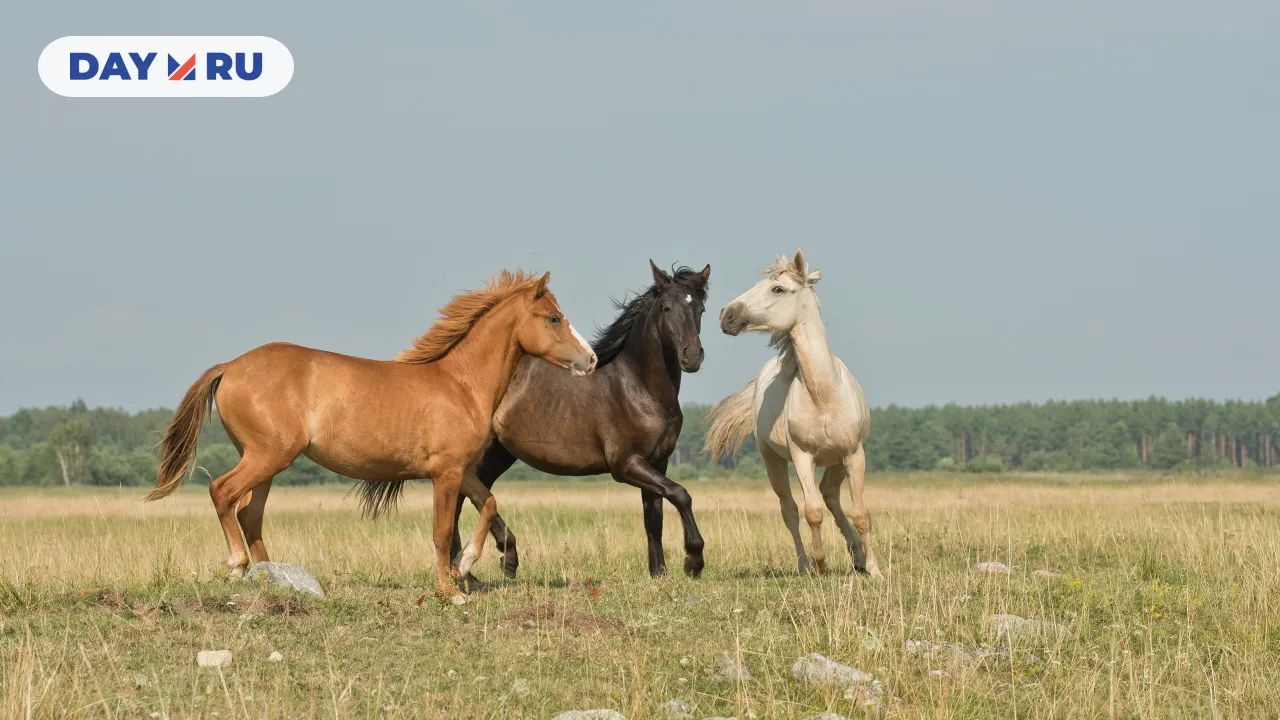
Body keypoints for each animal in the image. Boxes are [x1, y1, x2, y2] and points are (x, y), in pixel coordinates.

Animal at [145, 270, 597, 604]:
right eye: (553, 317)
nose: (590, 359)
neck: (461, 384)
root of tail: (231, 366)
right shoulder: (445, 474)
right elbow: (440, 531)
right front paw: (451, 591)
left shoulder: (463, 470)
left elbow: (488, 504)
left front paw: (465, 565)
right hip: (267, 456)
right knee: (222, 492)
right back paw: (238, 566)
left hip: (267, 462)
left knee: (249, 514)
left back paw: (274, 578)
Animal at [451, 261, 710, 579]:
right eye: (666, 307)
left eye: (700, 309)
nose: (692, 357)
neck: (640, 388)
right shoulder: (626, 465)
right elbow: (680, 494)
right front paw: (693, 561)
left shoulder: (657, 462)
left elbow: (654, 518)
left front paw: (658, 573)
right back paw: (491, 560)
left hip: (499, 453)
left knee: (471, 494)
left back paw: (475, 566)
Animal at [704, 251, 880, 576]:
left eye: (778, 289)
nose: (726, 314)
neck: (824, 395)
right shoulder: (802, 457)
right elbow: (812, 512)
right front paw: (820, 565)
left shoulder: (854, 454)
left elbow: (862, 513)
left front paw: (874, 569)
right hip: (773, 461)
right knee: (791, 511)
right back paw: (805, 564)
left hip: (837, 461)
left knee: (830, 495)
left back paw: (858, 556)